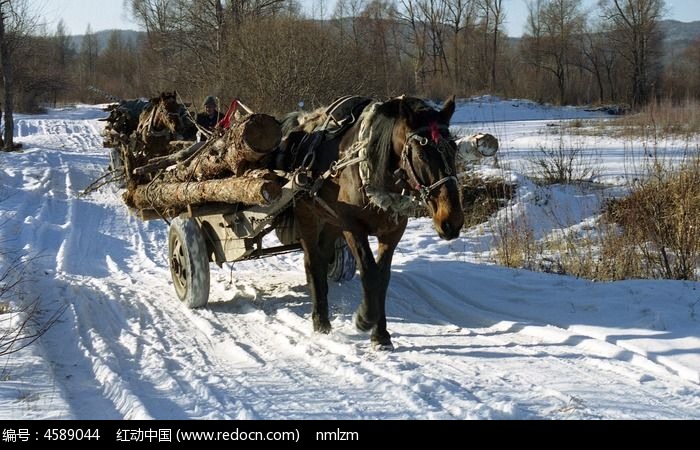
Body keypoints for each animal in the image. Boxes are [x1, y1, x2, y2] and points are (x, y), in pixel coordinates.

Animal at [282, 96, 462, 352]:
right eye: (422, 155)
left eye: (454, 149)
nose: (451, 221)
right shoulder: (352, 226)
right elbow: (369, 273)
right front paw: (365, 319)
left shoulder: (393, 231)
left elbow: (383, 278)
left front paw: (381, 335)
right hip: (307, 214)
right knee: (313, 261)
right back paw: (320, 321)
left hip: (330, 219)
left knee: (323, 256)